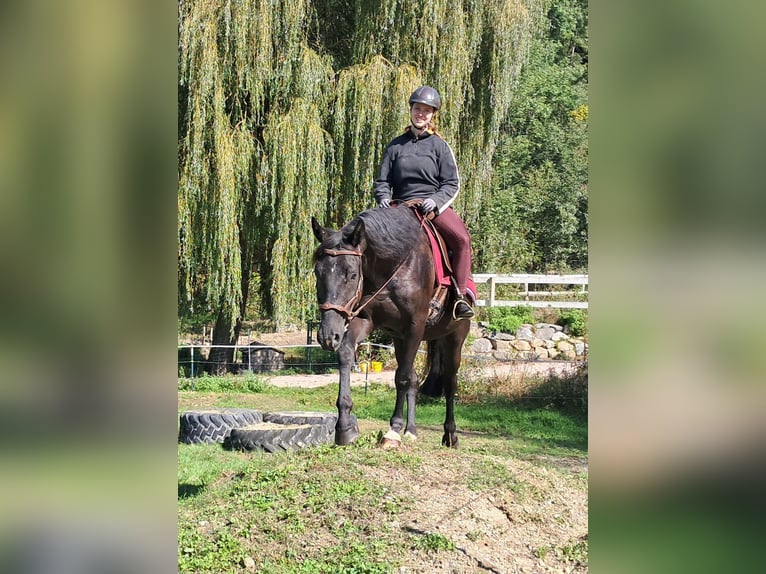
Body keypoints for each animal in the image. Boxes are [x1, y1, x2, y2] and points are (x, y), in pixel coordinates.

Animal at [310, 207, 468, 450]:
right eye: (318, 272)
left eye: (352, 274)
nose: (328, 336)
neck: (395, 266)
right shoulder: (365, 320)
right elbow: (346, 356)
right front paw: (344, 426)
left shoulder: (414, 327)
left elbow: (401, 378)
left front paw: (393, 431)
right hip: (400, 339)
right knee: (413, 379)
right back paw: (411, 430)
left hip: (454, 338)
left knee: (449, 383)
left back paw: (450, 434)